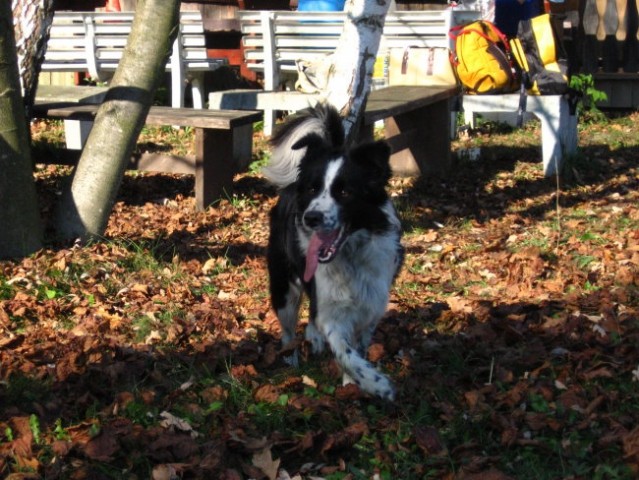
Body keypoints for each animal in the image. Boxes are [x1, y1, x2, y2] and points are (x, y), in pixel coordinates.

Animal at [262, 105, 402, 402]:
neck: (350, 255)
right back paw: (291, 357)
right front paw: (377, 384)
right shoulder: (333, 313)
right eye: (313, 188)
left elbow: (356, 351)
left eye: (345, 192)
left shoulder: (370, 309)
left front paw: (354, 383)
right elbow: (345, 352)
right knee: (288, 330)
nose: (311, 218)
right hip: (283, 289)